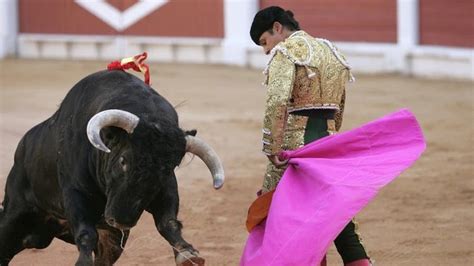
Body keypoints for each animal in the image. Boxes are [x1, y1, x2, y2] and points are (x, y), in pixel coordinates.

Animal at [0, 70, 225, 266]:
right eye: (123, 160)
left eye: (166, 170)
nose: (120, 221)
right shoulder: (75, 191)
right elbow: (86, 233)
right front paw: (83, 262)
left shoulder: (165, 190)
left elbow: (168, 222)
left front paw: (188, 253)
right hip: (14, 215)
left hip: (110, 239)